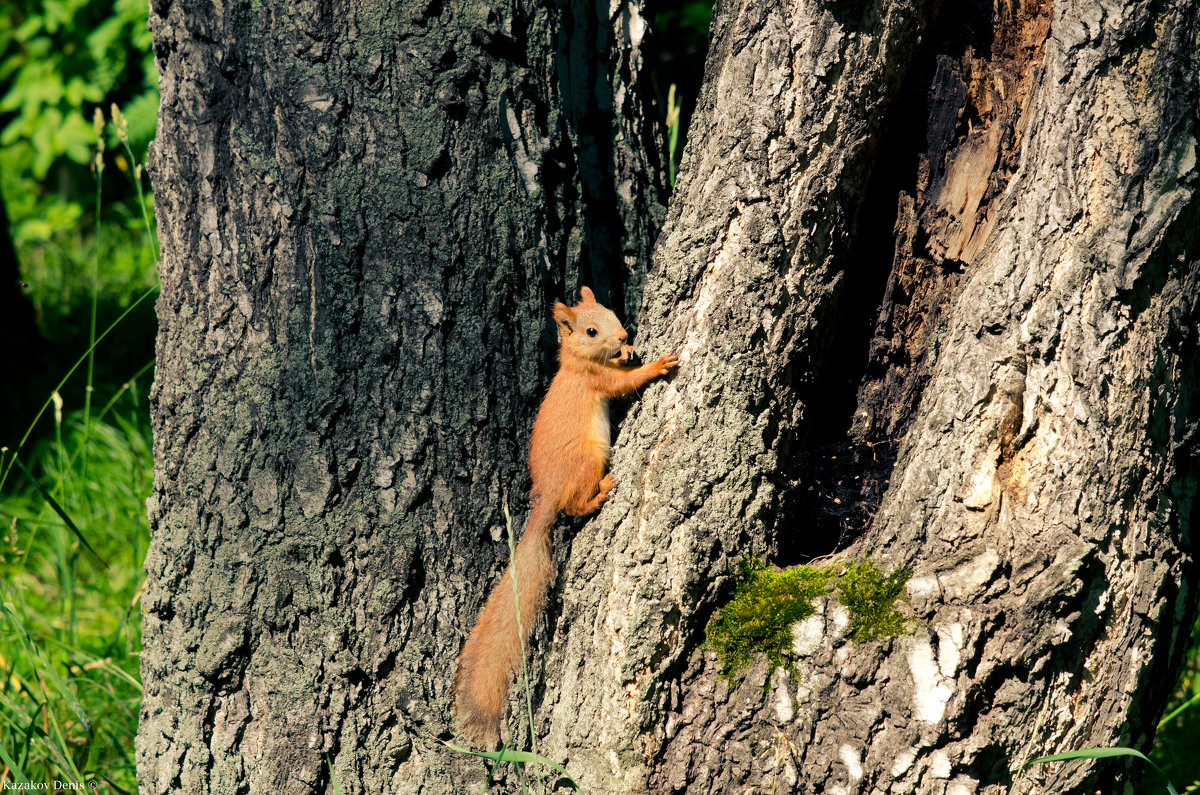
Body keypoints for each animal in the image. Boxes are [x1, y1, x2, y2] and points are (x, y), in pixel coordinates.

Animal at [451, 287, 681, 749]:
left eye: (610, 311)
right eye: (590, 330)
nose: (624, 335)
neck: (578, 362)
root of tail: (545, 499)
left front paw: (628, 351)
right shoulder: (596, 381)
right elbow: (625, 384)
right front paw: (654, 365)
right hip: (587, 461)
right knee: (573, 507)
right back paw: (599, 496)